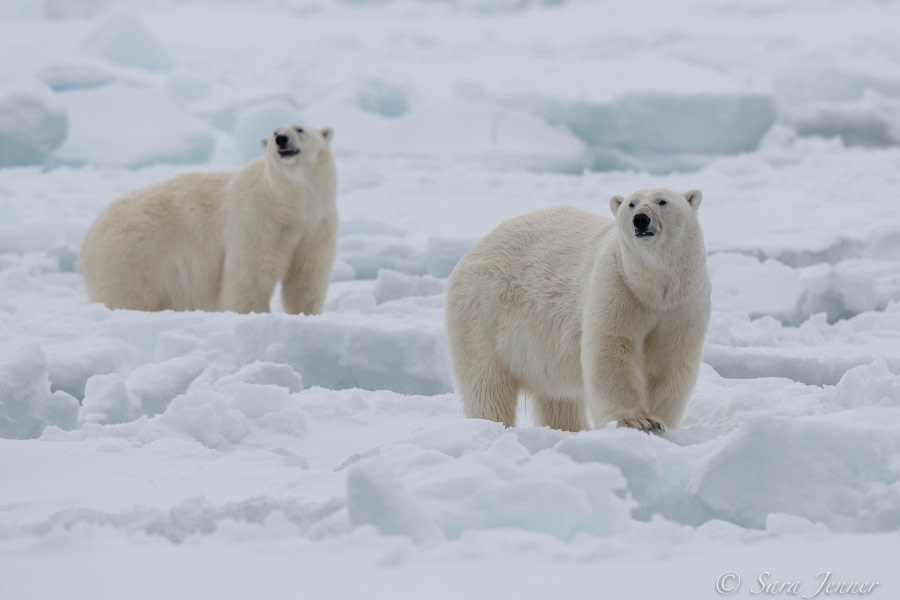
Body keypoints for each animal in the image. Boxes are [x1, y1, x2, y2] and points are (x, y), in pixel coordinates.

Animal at [77, 125, 336, 316]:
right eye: (274, 132)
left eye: (299, 129)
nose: (281, 139)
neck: (290, 201)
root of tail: (91, 232)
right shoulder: (257, 219)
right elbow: (250, 274)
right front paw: (253, 314)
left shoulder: (317, 225)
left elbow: (307, 274)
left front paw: (306, 314)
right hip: (132, 256)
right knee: (126, 293)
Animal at [442, 188, 712, 432]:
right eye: (632, 204)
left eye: (662, 201)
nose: (641, 219)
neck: (652, 287)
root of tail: (472, 251)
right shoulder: (616, 286)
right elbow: (611, 349)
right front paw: (637, 420)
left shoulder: (683, 302)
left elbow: (671, 359)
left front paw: (660, 420)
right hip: (483, 314)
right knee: (486, 384)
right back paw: (490, 425)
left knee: (559, 399)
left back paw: (572, 428)